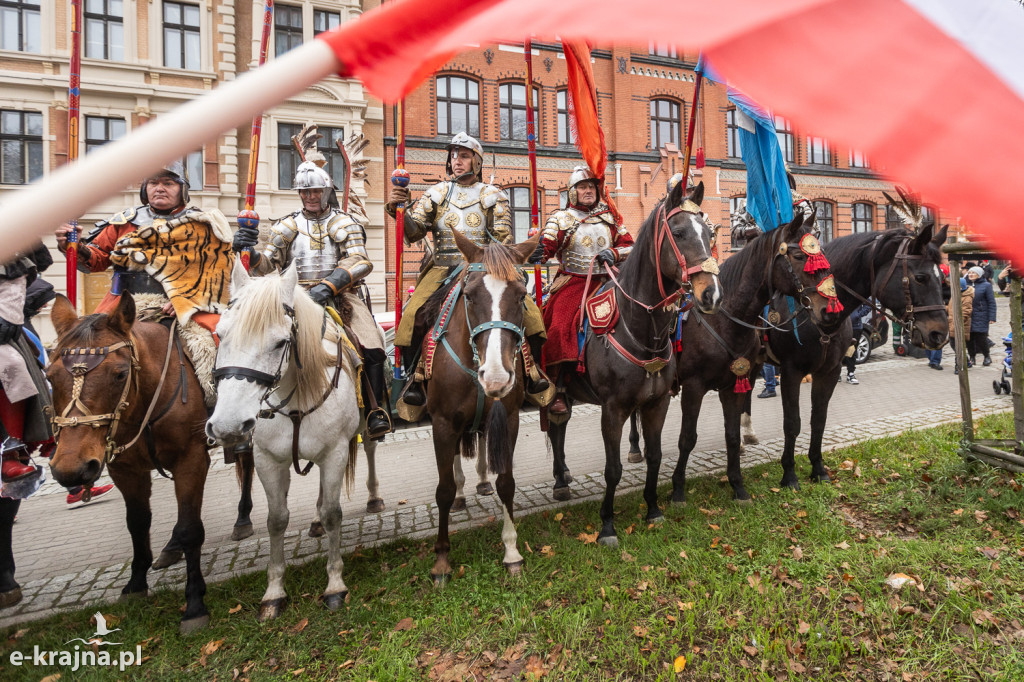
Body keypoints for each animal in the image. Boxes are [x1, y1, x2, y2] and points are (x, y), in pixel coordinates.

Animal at [47, 292, 208, 630]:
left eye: (120, 374)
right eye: (50, 376)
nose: (71, 470)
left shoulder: (191, 460)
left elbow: (190, 528)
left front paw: (194, 603)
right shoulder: (124, 469)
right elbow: (137, 523)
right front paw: (135, 585)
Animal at [204, 259, 364, 614]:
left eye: (279, 342)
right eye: (220, 334)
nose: (227, 426)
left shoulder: (335, 452)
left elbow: (333, 514)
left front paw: (335, 584)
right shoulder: (267, 459)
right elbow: (277, 519)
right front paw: (274, 591)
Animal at [419, 227, 540, 577]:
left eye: (521, 295)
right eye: (469, 296)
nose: (497, 377)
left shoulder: (509, 418)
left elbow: (507, 483)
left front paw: (512, 551)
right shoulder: (442, 424)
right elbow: (444, 489)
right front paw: (442, 559)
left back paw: (483, 481)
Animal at [548, 178, 724, 544]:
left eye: (709, 233)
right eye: (680, 232)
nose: (711, 294)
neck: (642, 329)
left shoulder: (657, 403)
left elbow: (655, 457)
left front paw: (653, 509)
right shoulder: (612, 409)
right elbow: (612, 469)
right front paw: (607, 525)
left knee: (559, 427)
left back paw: (562, 477)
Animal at [745, 222, 950, 483]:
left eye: (942, 278)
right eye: (921, 277)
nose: (940, 334)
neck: (817, 319)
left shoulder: (829, 372)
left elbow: (818, 420)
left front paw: (818, 469)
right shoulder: (791, 372)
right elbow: (792, 423)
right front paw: (789, 474)